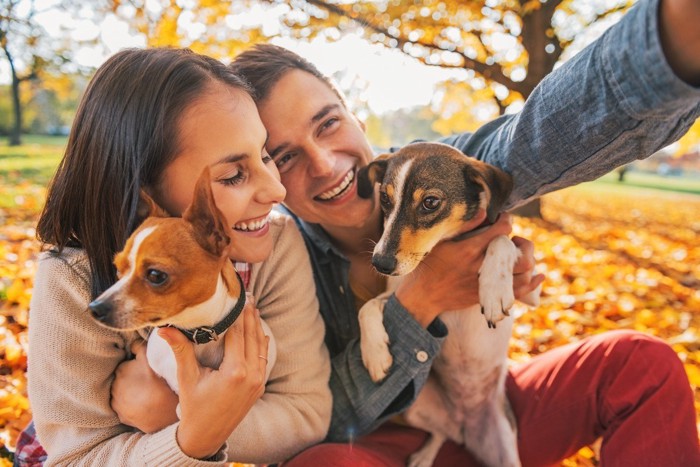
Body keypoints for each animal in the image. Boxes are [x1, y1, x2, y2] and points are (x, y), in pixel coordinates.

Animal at [356, 143, 540, 467]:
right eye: (385, 199)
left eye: (430, 202)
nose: (380, 263)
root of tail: (464, 424)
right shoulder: (398, 292)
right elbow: (366, 308)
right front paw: (375, 355)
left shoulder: (530, 289)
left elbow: (502, 242)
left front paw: (493, 289)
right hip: (413, 408)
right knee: (441, 433)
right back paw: (425, 456)